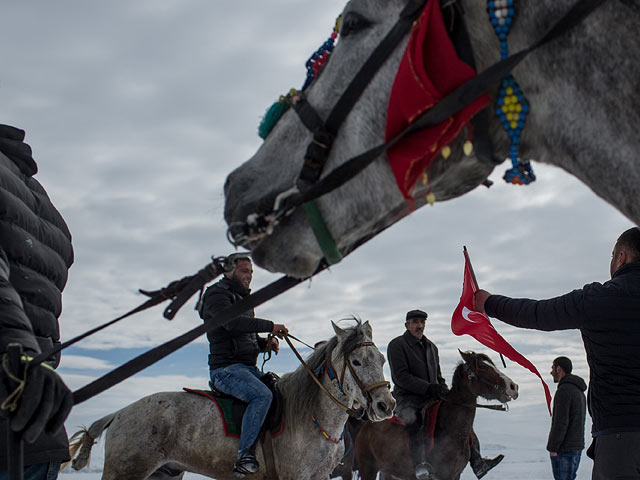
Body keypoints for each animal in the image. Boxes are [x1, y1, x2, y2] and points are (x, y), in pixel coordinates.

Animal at [66, 318, 396, 480]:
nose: (386, 405)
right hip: (125, 472)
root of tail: (118, 414)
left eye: (381, 359)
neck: (312, 418)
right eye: (356, 362)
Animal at [356, 348, 520, 480]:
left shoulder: (455, 474)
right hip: (368, 469)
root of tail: (366, 425)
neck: (451, 428)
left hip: (389, 472)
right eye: (483, 367)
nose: (513, 387)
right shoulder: (444, 475)